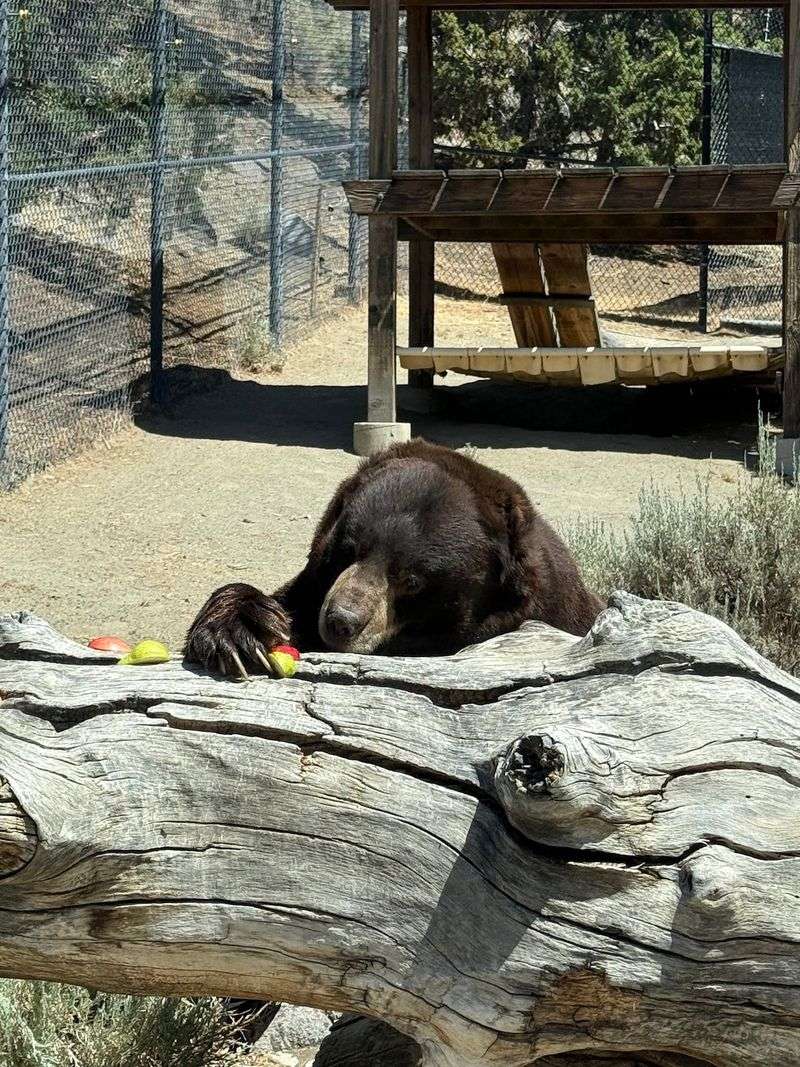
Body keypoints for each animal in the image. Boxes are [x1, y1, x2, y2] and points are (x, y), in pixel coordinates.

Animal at [184, 439, 603, 675]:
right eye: (347, 549)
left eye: (412, 580)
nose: (341, 621)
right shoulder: (313, 588)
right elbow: (283, 601)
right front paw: (243, 632)